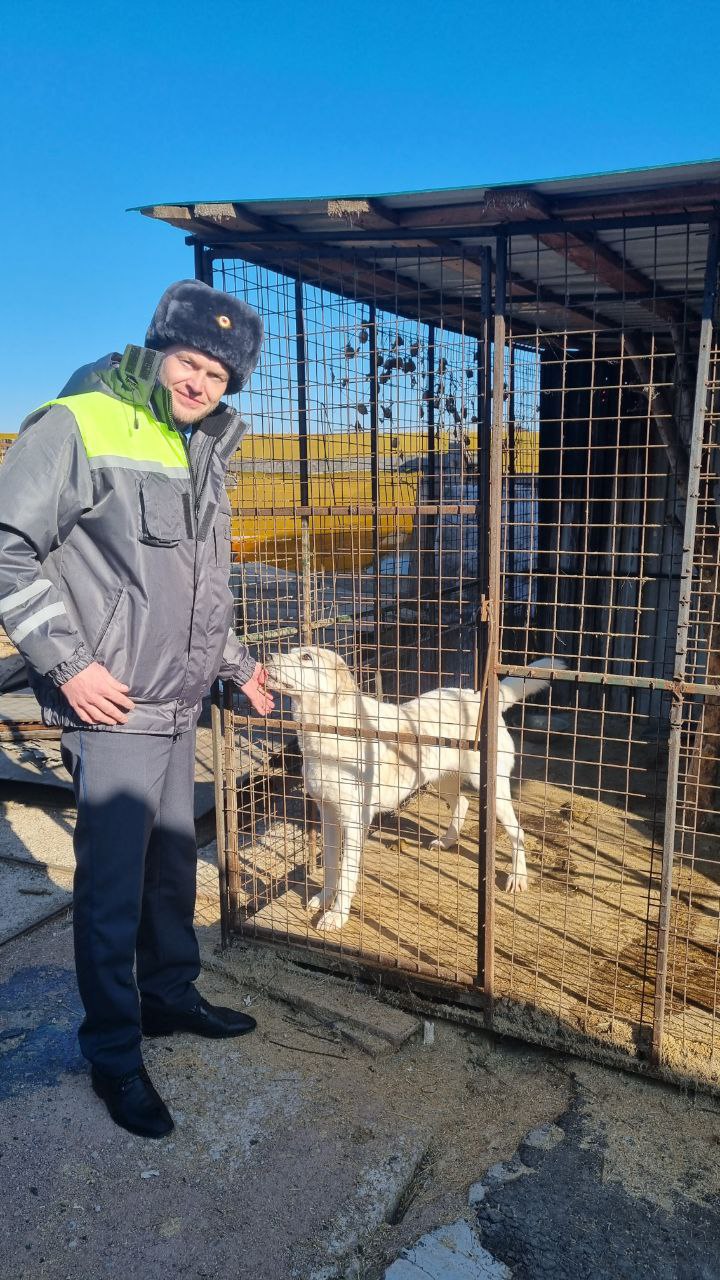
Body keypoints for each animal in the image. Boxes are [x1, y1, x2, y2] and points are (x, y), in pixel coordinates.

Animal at [263, 650, 561, 931]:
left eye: (306, 657)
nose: (267, 657)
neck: (327, 728)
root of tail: (477, 697)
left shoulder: (354, 821)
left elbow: (346, 873)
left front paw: (336, 916)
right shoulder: (328, 814)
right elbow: (330, 866)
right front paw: (324, 898)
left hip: (491, 789)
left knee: (517, 831)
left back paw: (518, 877)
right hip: (439, 778)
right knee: (463, 803)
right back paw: (447, 841)